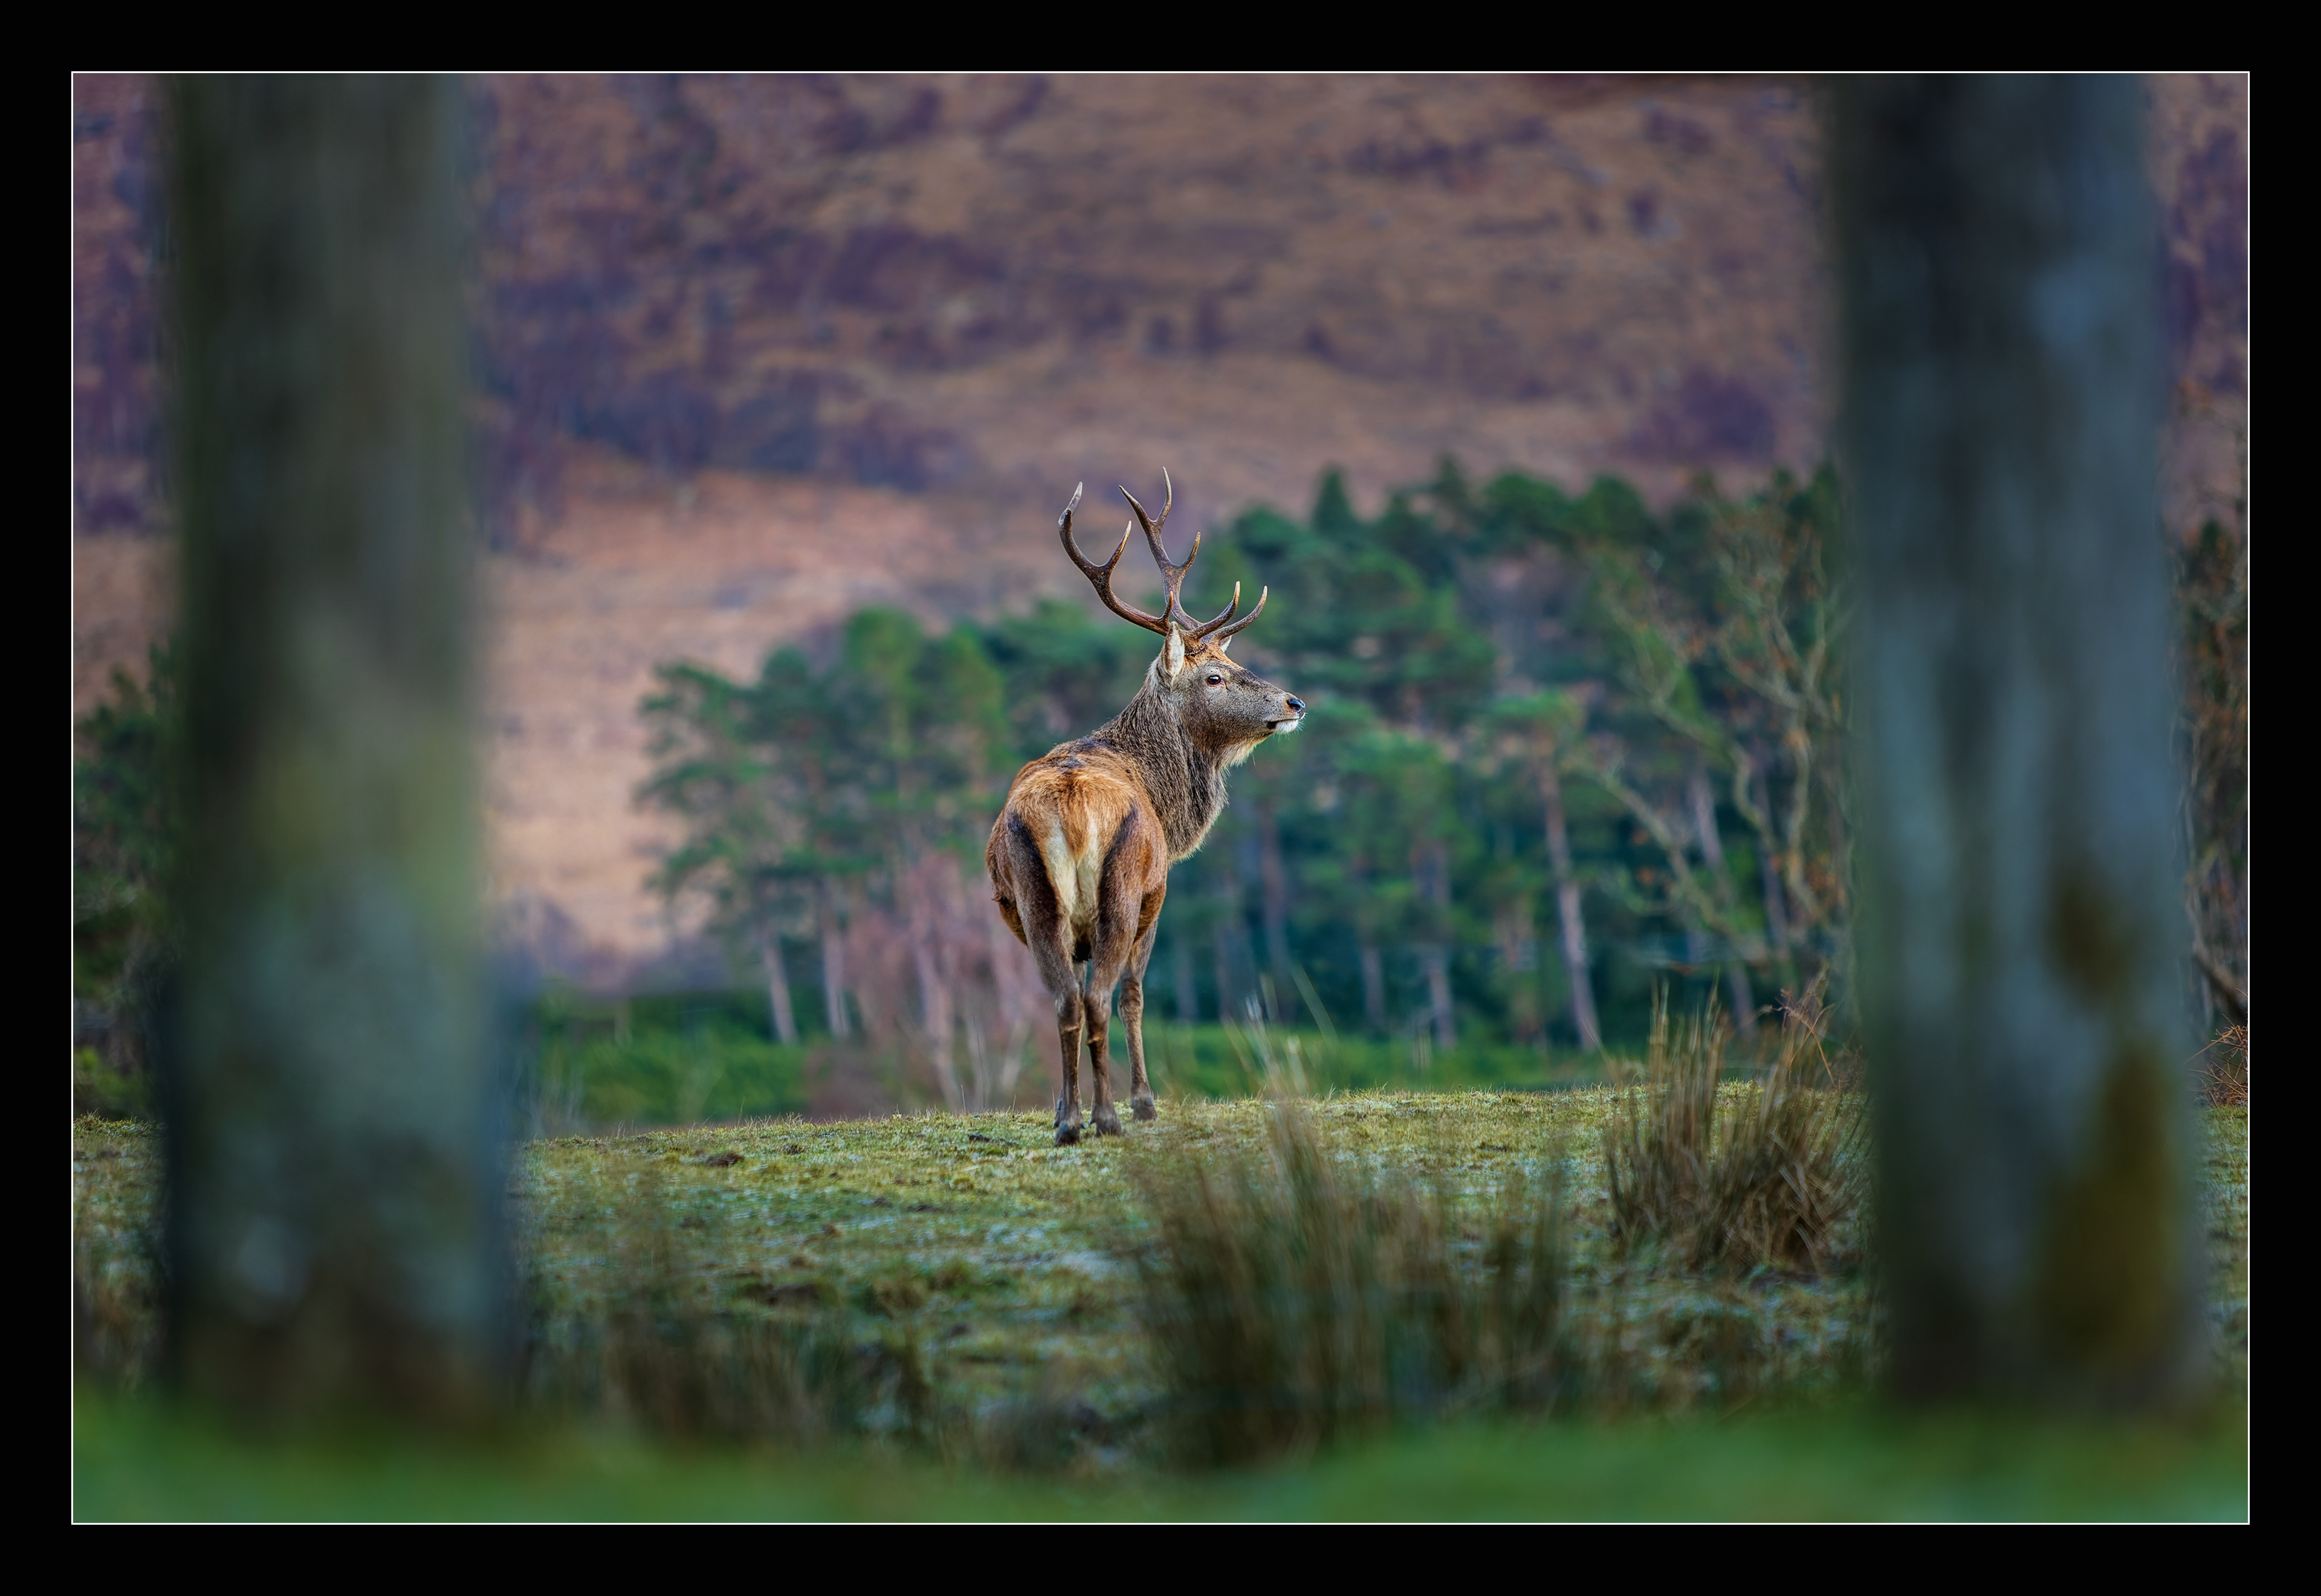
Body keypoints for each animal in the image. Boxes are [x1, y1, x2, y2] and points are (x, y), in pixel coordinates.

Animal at [987, 473, 1306, 1145]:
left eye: (1233, 662)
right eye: (1214, 677)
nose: (1295, 702)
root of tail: (1070, 808)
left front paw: (1069, 1106)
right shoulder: (1157, 896)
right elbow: (1135, 995)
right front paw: (1143, 1101)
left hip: (1033, 900)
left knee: (1064, 999)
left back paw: (1068, 1120)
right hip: (1122, 890)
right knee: (1102, 996)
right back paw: (1110, 1116)